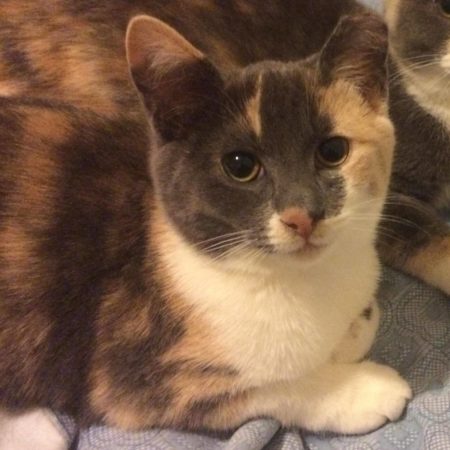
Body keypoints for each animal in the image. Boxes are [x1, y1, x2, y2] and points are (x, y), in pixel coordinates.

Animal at [0, 0, 411, 441]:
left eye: (333, 151)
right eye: (240, 165)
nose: (303, 214)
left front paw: (354, 327)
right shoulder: (135, 382)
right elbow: (275, 388)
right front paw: (362, 389)